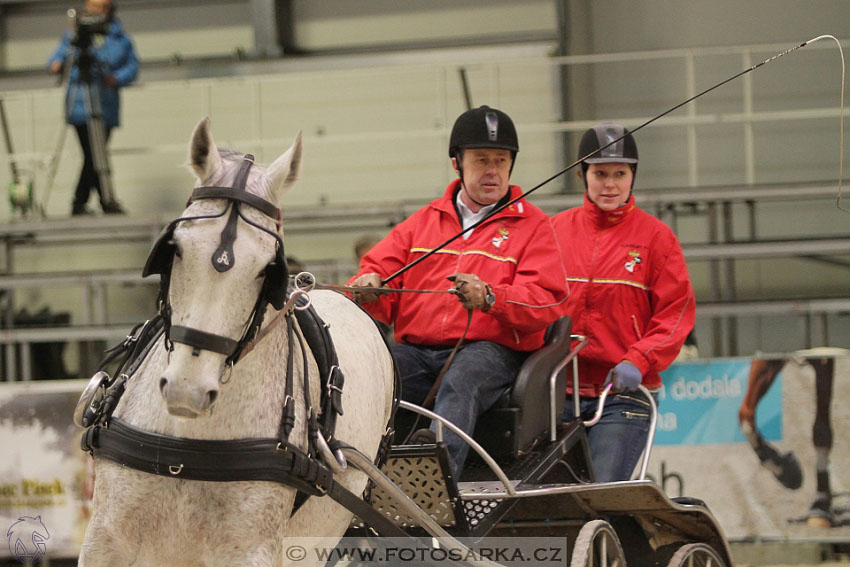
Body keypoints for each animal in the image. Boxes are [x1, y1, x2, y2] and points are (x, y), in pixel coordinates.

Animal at [79, 117, 394, 564]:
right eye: (176, 249)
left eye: (266, 269)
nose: (187, 390)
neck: (187, 446)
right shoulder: (105, 540)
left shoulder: (250, 549)